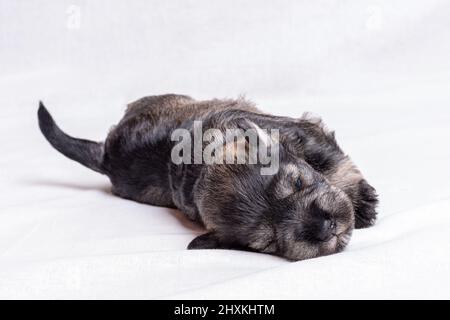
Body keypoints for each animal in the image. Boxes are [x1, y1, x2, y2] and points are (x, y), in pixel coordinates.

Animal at [37, 94, 376, 260]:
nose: (324, 227)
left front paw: (362, 205)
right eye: (268, 243)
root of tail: (105, 157)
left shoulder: (304, 134)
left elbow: (334, 162)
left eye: (298, 183)